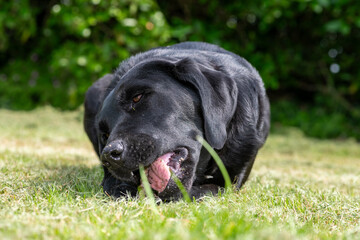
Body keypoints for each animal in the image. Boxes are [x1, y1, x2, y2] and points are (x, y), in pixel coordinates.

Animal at [84, 41, 270, 201]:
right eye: (104, 135)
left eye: (137, 97)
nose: (109, 155)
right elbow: (113, 186)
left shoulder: (232, 179)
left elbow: (209, 189)